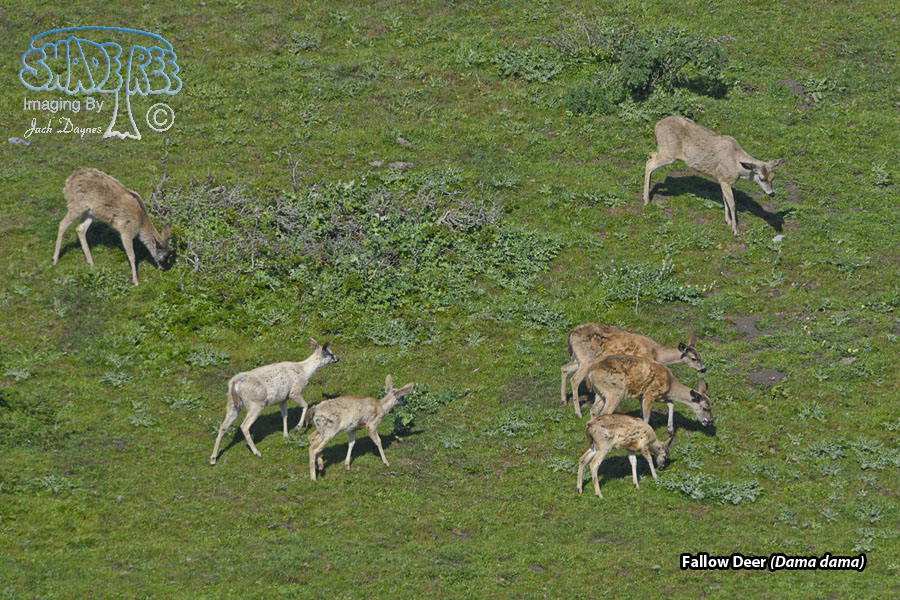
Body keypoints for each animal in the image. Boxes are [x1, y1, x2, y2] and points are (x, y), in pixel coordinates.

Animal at [209, 338, 339, 465]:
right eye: (329, 353)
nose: (338, 358)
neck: (304, 371)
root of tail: (234, 383)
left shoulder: (283, 399)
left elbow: (284, 415)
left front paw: (286, 434)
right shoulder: (294, 391)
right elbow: (306, 405)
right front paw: (297, 428)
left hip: (233, 404)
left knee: (223, 426)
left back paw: (213, 458)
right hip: (256, 403)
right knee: (244, 425)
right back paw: (257, 452)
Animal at [561, 323, 705, 417]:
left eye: (700, 356)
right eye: (693, 358)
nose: (704, 369)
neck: (657, 354)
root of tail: (571, 333)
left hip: (578, 359)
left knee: (564, 368)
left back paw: (564, 401)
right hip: (586, 359)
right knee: (575, 379)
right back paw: (578, 413)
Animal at [585, 354, 713, 436]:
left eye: (711, 406)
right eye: (705, 408)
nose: (710, 421)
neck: (670, 385)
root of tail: (591, 371)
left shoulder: (653, 396)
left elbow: (671, 404)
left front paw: (670, 430)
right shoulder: (650, 394)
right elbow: (646, 417)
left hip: (600, 393)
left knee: (594, 410)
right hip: (615, 391)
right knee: (605, 413)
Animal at [643, 115, 785, 235]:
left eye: (773, 177)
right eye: (762, 178)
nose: (772, 194)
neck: (736, 164)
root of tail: (657, 126)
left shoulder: (721, 179)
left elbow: (724, 200)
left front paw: (727, 221)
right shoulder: (726, 179)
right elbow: (732, 204)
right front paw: (735, 230)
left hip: (663, 150)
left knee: (650, 156)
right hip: (669, 152)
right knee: (649, 164)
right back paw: (646, 200)